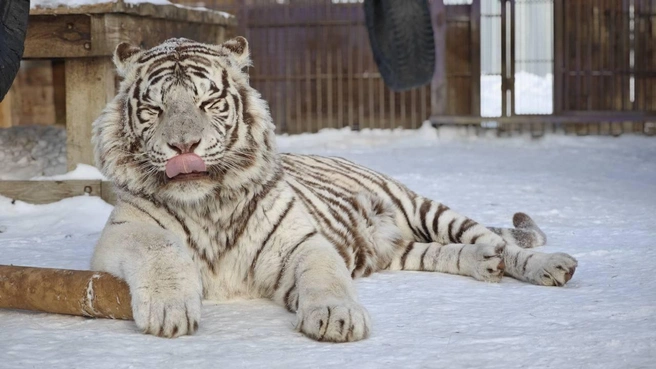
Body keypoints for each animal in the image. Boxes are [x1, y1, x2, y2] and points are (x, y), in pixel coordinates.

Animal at [92, 36, 580, 340]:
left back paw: (549, 265)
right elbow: (159, 249)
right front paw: (170, 310)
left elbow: (325, 276)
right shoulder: (121, 233)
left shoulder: (301, 241)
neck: (206, 204)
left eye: (209, 102)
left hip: (423, 207)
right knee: (443, 252)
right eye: (154, 109)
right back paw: (483, 263)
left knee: (498, 241)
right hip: (400, 250)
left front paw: (335, 317)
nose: (184, 146)